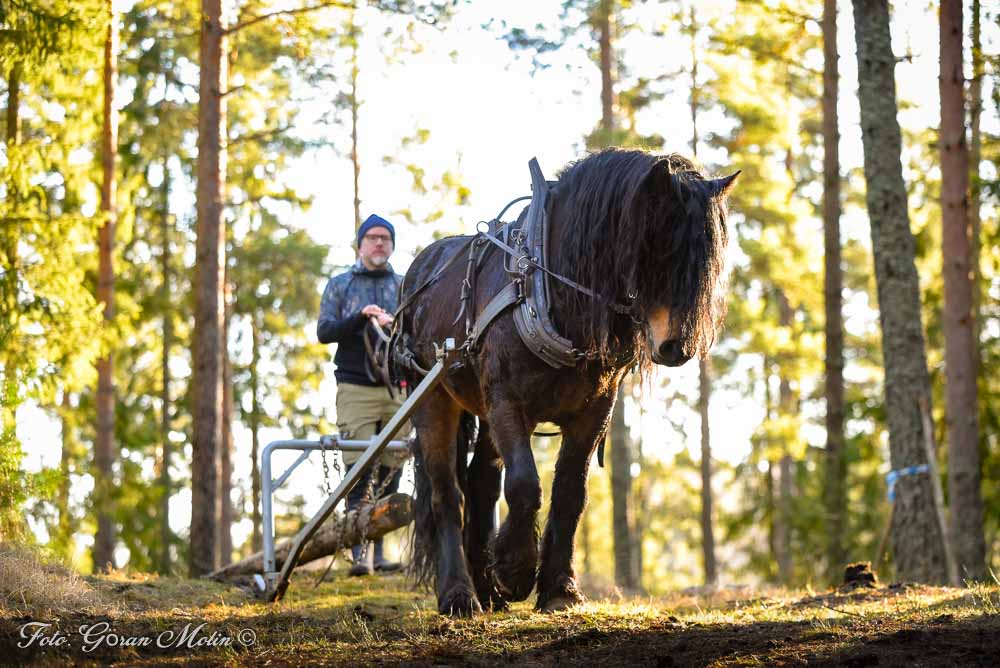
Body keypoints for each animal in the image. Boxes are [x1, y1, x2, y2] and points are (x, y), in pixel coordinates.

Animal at [396, 148, 737, 616]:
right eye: (659, 245)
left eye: (706, 260)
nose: (676, 348)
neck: (547, 291)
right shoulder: (507, 401)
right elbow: (525, 485)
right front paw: (515, 571)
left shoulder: (594, 410)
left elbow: (571, 492)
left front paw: (558, 588)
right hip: (433, 398)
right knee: (447, 493)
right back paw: (460, 594)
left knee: (481, 482)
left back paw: (488, 592)